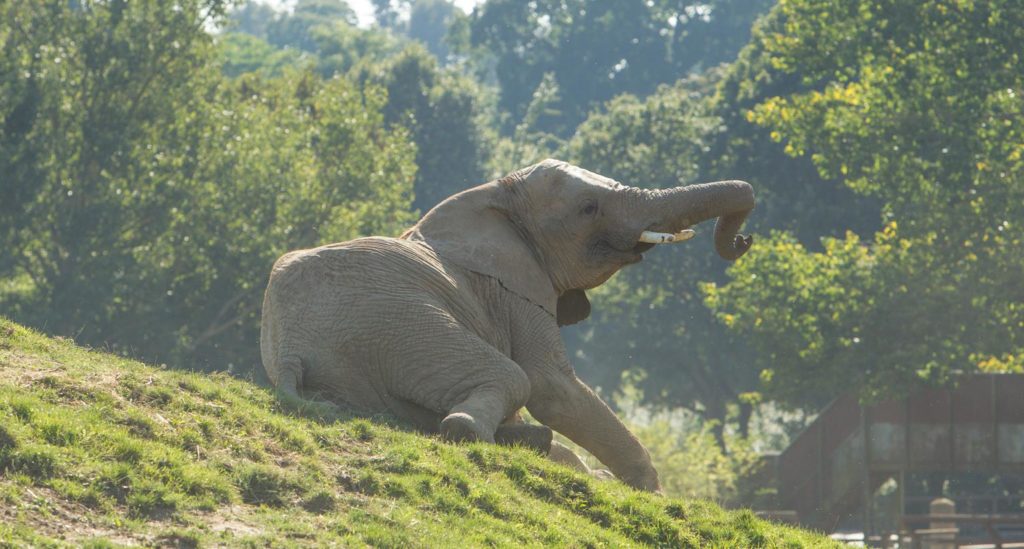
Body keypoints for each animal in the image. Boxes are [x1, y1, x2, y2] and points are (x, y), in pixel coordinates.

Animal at [260, 159, 749, 493]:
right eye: (588, 208)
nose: (742, 240)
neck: (495, 194)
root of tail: (290, 350)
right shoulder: (516, 293)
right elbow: (552, 385)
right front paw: (652, 490)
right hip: (398, 319)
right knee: (512, 379)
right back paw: (477, 434)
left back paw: (530, 441)